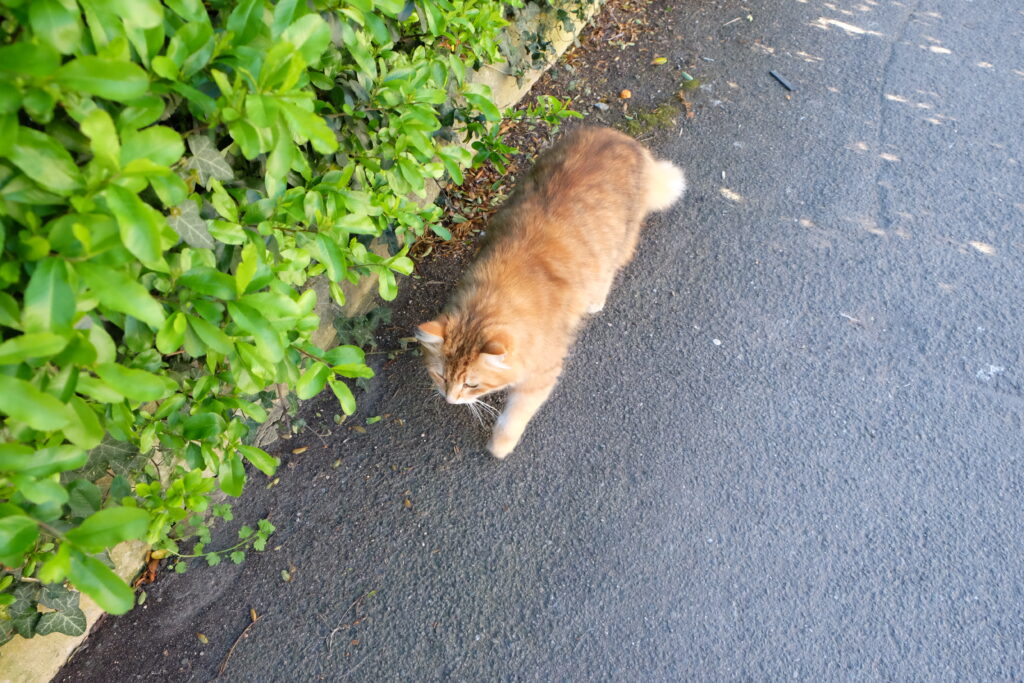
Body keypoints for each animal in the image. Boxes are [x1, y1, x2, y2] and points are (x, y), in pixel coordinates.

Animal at [415, 127, 688, 458]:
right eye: (441, 376)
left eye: (472, 385)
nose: (450, 399)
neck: (495, 295)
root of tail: (621, 138)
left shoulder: (541, 375)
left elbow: (513, 419)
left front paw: (499, 447)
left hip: (620, 243)